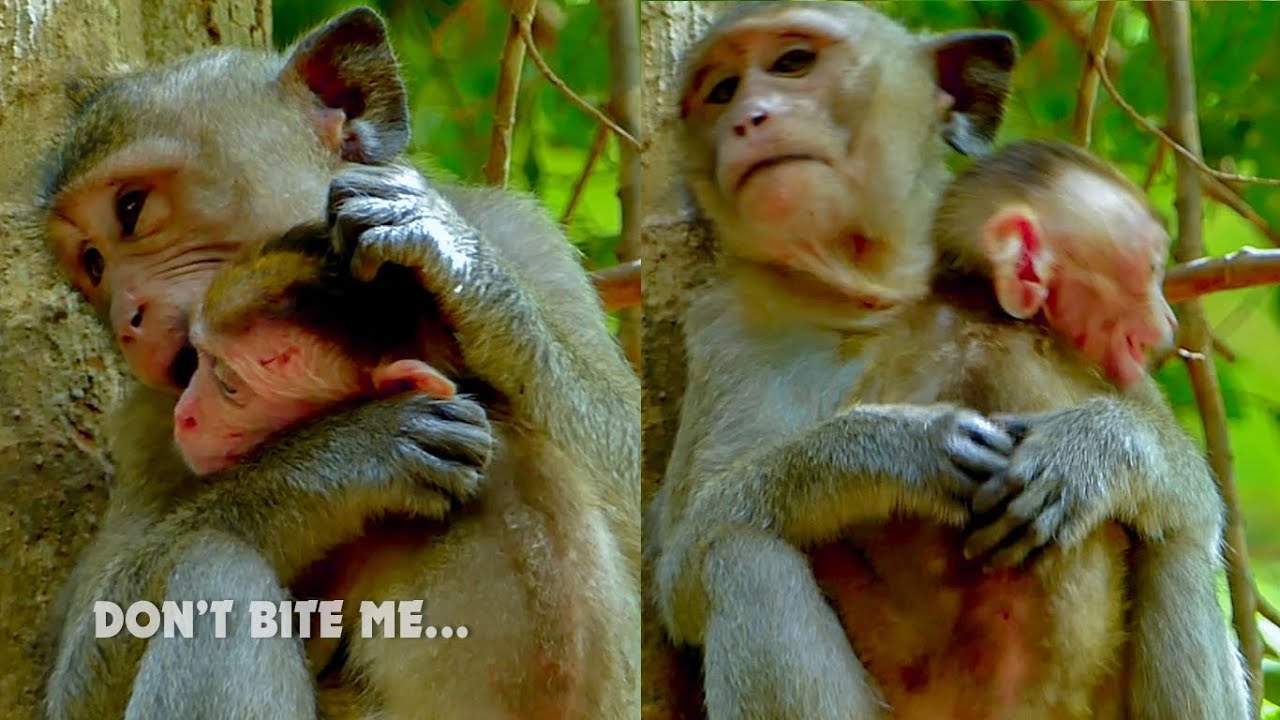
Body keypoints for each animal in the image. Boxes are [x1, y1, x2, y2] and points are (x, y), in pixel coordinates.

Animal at [41, 7, 639, 720]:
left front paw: (450, 255)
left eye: (131, 209)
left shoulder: (528, 241)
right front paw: (347, 454)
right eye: (93, 264)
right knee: (217, 570)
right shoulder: (147, 426)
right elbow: (76, 684)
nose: (125, 316)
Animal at [644, 3, 1243, 720]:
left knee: (1175, 542)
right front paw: (900, 449)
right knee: (739, 557)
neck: (888, 290)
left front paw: (1090, 449)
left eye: (792, 62)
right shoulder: (727, 325)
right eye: (721, 90)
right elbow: (683, 565)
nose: (747, 117)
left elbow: (1189, 492)